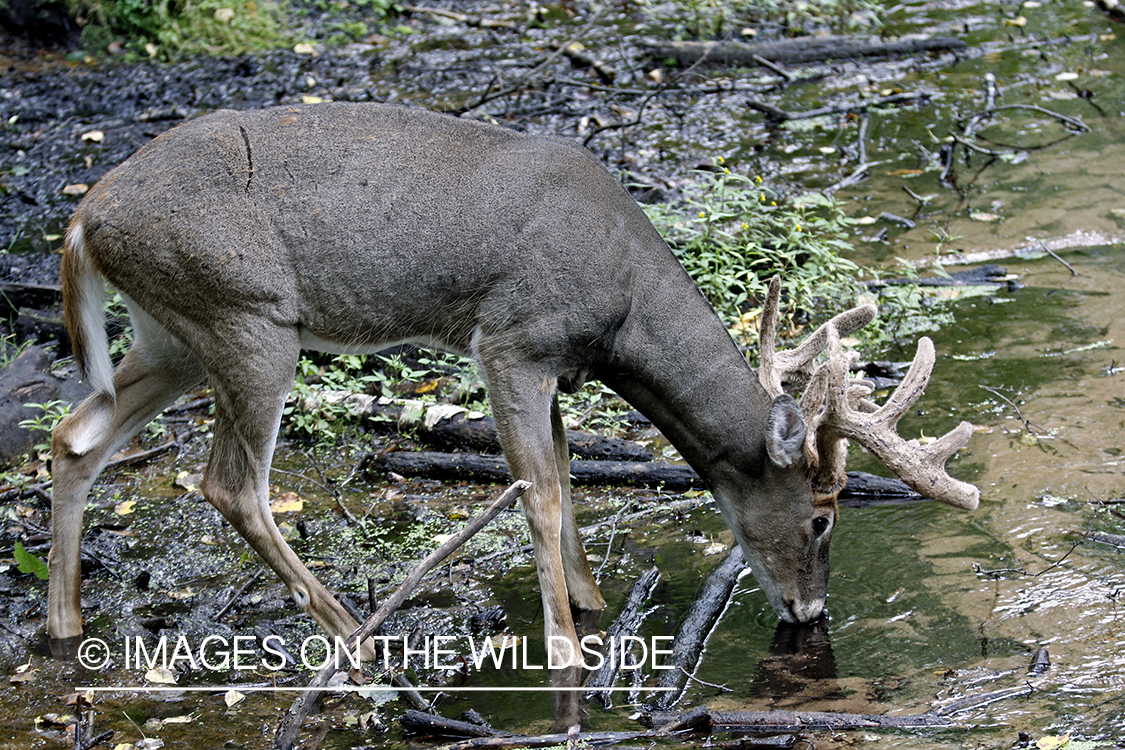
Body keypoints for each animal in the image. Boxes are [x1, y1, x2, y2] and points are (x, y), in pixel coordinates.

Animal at [46, 101, 976, 670]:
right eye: (821, 516)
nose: (810, 614)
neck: (621, 310)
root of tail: (83, 217)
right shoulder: (512, 340)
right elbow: (540, 490)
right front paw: (565, 645)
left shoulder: (554, 363)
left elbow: (562, 471)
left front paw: (592, 604)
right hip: (246, 317)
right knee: (228, 482)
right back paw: (355, 634)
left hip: (173, 332)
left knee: (74, 436)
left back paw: (66, 622)